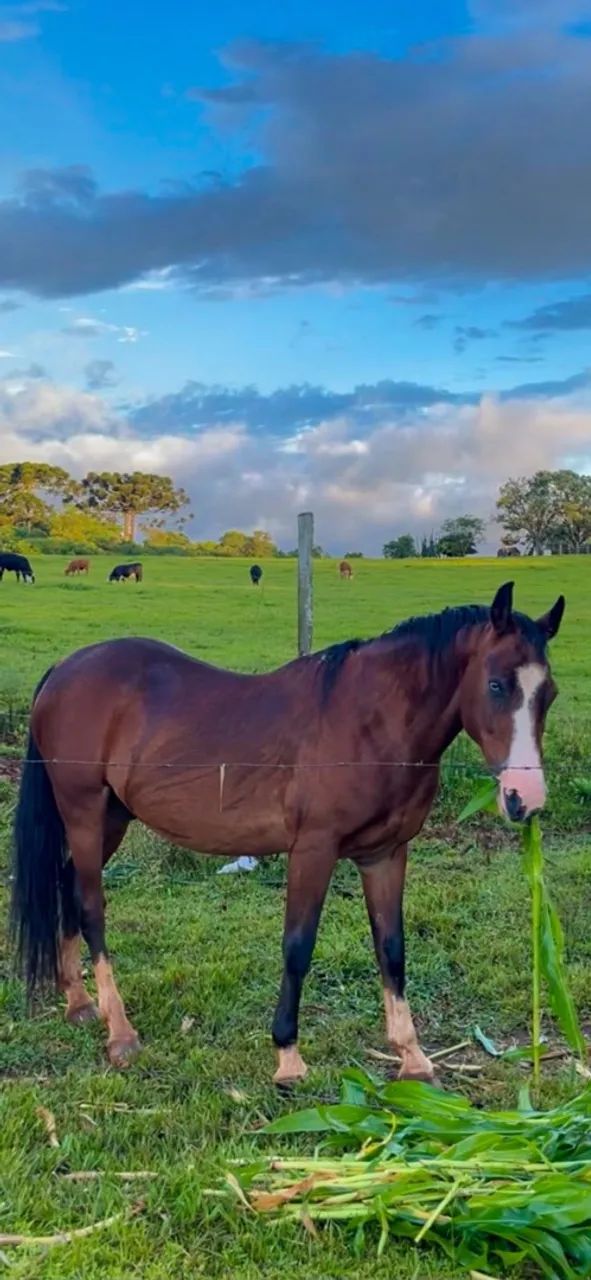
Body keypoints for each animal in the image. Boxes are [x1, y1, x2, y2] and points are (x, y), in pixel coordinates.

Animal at [11, 582, 564, 1086]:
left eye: (549, 694)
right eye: (496, 685)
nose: (526, 798)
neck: (369, 723)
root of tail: (65, 669)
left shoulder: (385, 854)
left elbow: (392, 948)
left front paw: (413, 1057)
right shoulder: (313, 850)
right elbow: (298, 946)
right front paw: (288, 1056)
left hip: (111, 818)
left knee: (67, 887)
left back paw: (79, 1002)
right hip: (84, 812)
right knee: (91, 907)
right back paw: (120, 1031)